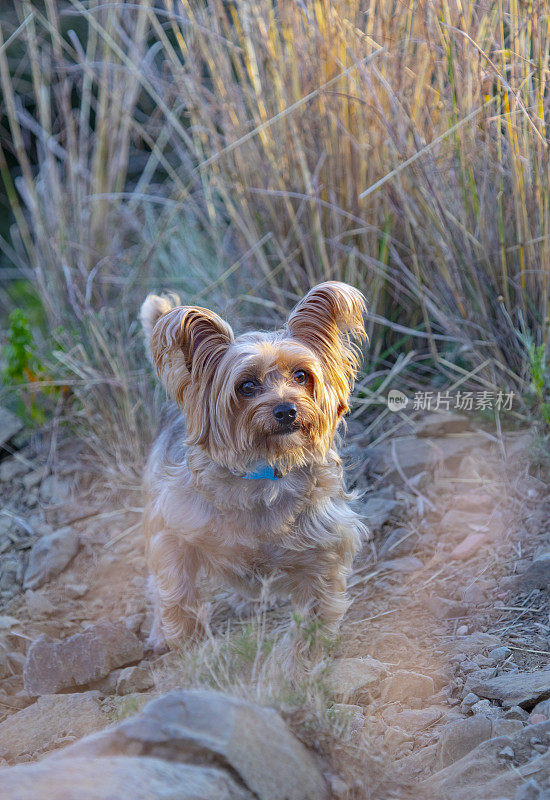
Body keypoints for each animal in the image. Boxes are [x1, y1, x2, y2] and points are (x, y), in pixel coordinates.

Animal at [140, 282, 368, 648]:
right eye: (246, 386)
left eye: (302, 375)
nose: (287, 410)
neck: (266, 470)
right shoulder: (172, 528)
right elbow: (175, 587)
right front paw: (182, 638)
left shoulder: (325, 550)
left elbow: (314, 618)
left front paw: (303, 660)